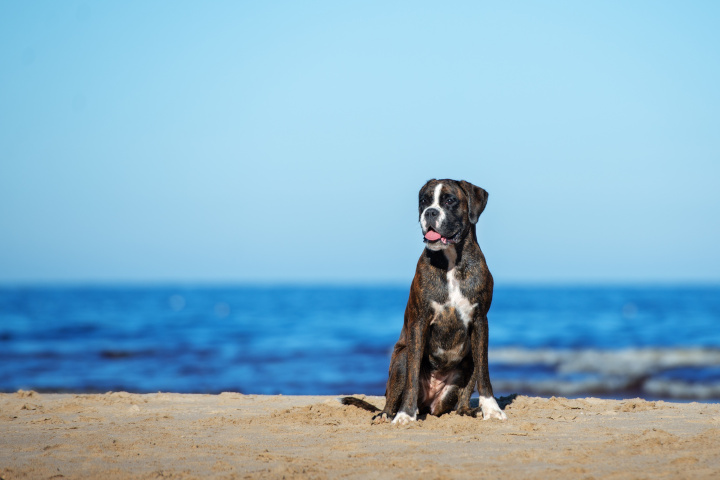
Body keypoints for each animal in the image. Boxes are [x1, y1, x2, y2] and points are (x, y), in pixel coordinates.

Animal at [344, 179, 506, 424]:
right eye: (424, 200)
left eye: (450, 200)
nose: (430, 212)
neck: (451, 261)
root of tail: (428, 404)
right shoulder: (418, 323)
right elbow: (412, 376)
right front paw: (404, 415)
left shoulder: (480, 322)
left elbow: (484, 372)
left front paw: (491, 409)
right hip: (400, 358)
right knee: (392, 395)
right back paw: (387, 414)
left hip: (466, 364)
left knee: (463, 397)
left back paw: (469, 410)